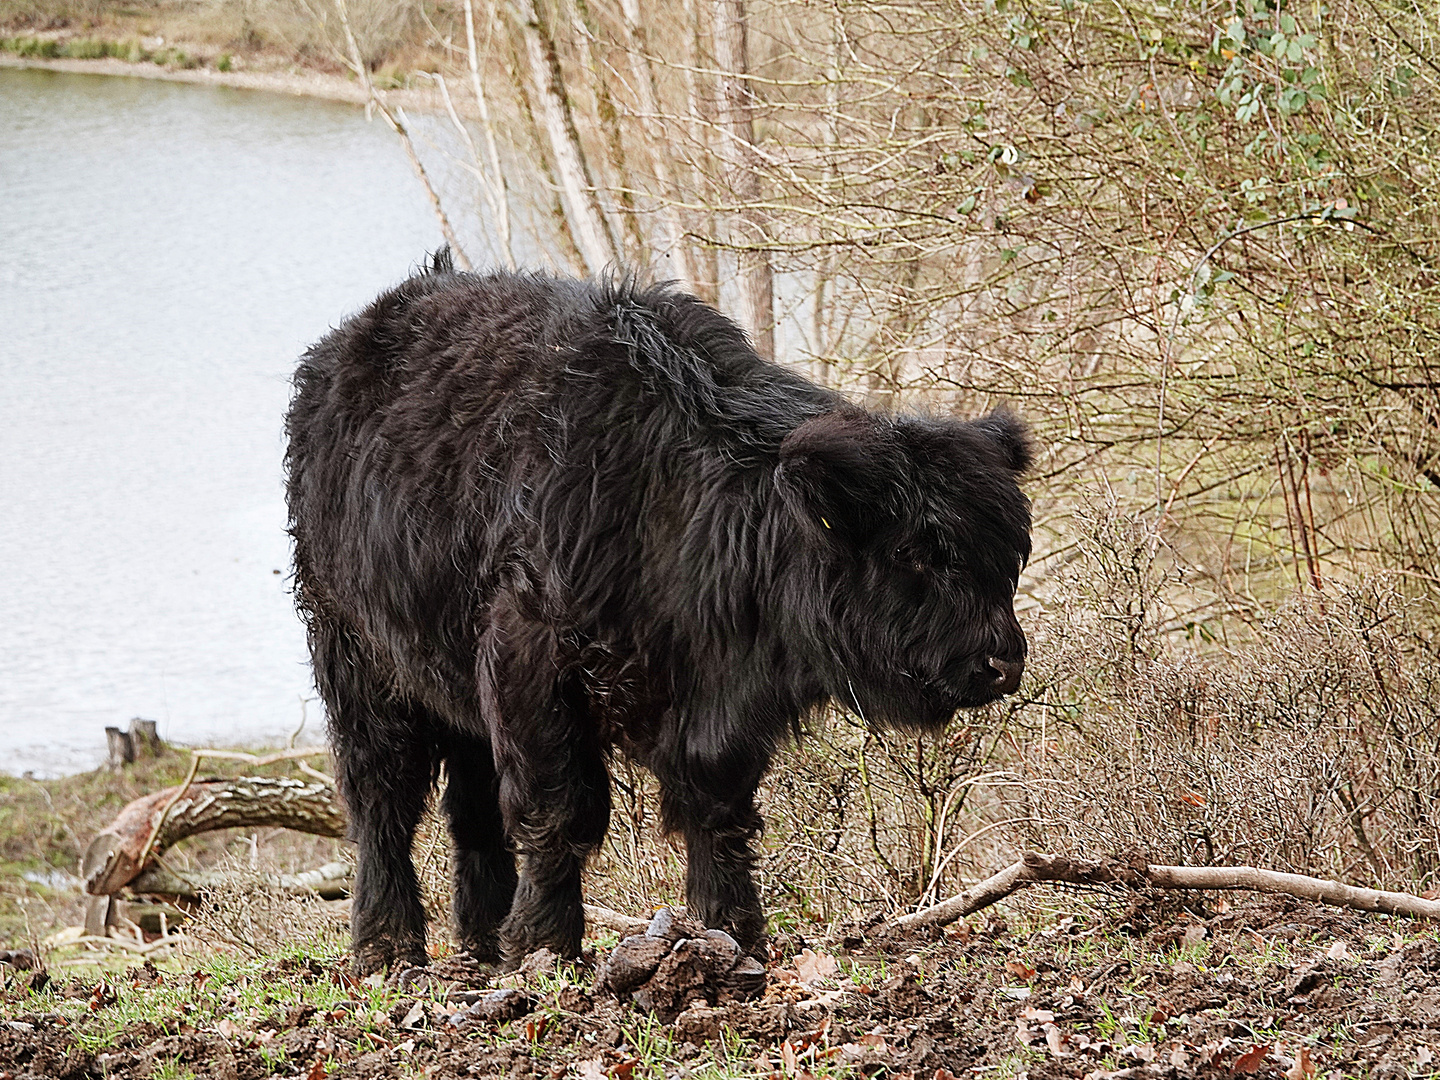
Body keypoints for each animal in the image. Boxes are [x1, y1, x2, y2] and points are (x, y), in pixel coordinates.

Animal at [286, 257, 1031, 979]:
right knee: (382, 800)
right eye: (913, 551)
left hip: (452, 682)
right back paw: (388, 950)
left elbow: (718, 812)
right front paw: (545, 948)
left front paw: (731, 933)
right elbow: (560, 810)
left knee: (471, 812)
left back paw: (481, 944)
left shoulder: (720, 711)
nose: (1001, 660)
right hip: (356, 661)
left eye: (1009, 553)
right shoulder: (532, 664)